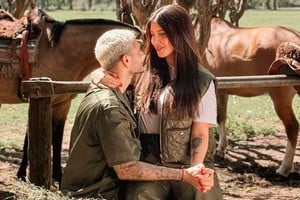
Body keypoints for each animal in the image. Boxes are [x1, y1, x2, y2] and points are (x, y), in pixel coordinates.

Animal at [0, 7, 141, 183]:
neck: (59, 51)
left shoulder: (62, 103)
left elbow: (57, 137)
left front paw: (58, 176)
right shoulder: (39, 96)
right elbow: (31, 137)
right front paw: (22, 174)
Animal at [202, 16, 300, 177]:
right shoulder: (222, 91)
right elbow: (221, 117)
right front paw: (221, 149)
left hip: (280, 97)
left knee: (292, 127)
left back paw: (284, 168)